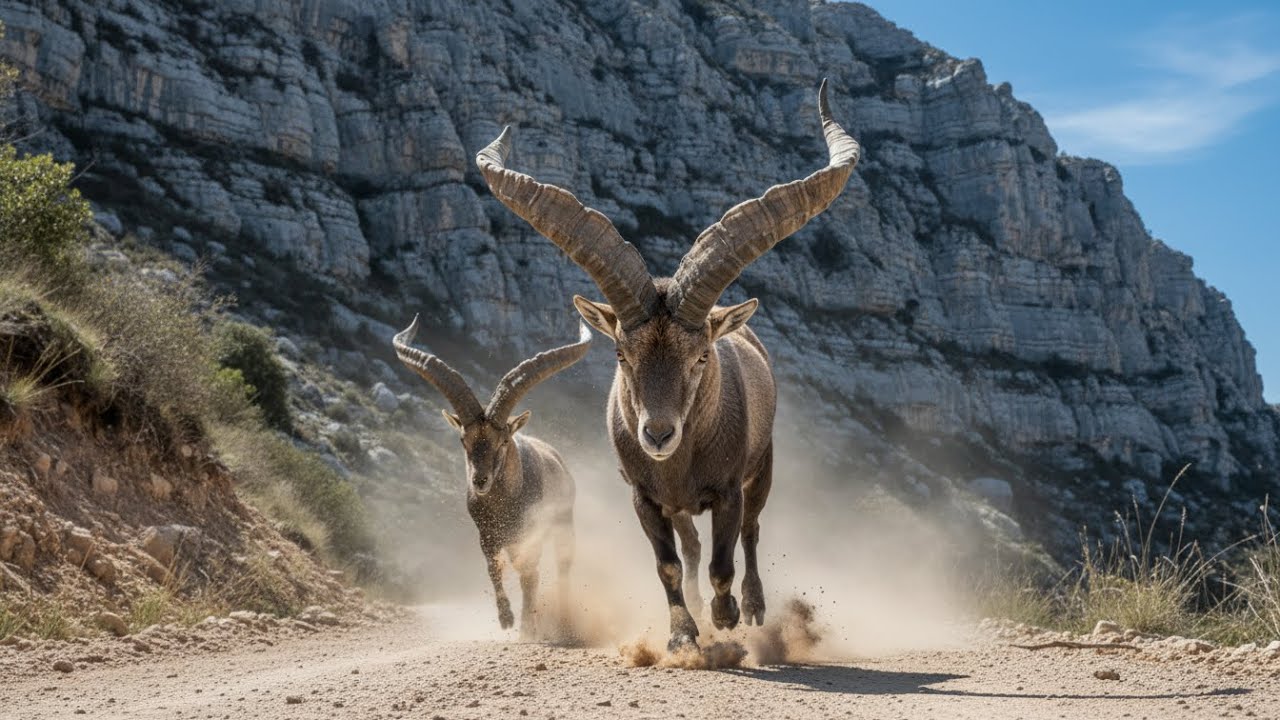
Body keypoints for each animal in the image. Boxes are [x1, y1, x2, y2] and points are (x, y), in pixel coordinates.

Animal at [393, 316, 591, 638]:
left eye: (504, 441)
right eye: (463, 440)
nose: (480, 481)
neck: (504, 502)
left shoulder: (530, 533)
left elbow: (530, 575)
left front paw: (526, 627)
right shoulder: (487, 535)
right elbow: (493, 569)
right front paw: (506, 618)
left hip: (564, 524)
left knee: (561, 568)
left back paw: (559, 621)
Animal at [475, 80, 860, 648]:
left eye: (700, 356)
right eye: (620, 353)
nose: (657, 435)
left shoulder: (727, 490)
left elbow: (724, 559)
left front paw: (725, 617)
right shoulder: (646, 497)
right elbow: (669, 565)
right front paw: (683, 636)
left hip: (763, 465)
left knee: (751, 533)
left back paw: (751, 607)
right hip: (680, 505)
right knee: (692, 546)